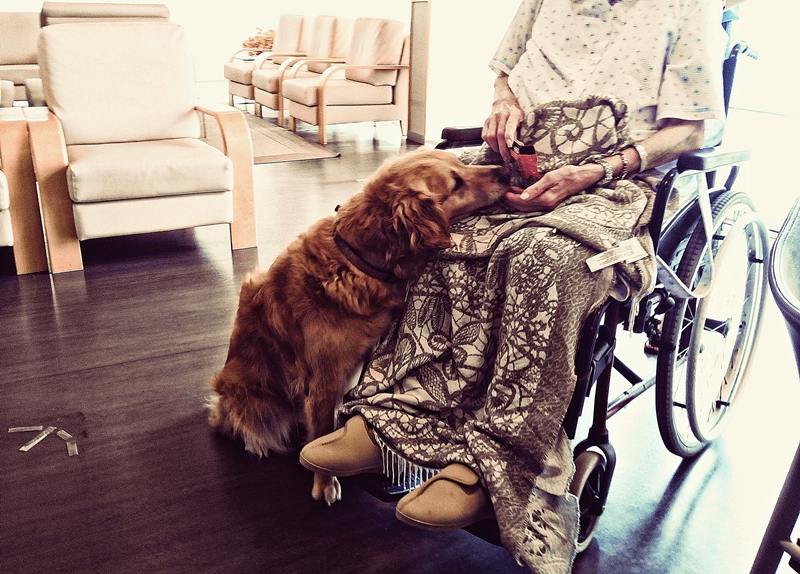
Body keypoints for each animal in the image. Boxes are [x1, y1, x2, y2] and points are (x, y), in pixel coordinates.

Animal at [205, 151, 506, 506]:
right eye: (456, 182)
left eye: (463, 164)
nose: (504, 170)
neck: (355, 260)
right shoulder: (322, 378)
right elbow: (320, 430)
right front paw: (323, 482)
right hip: (251, 399)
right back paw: (255, 440)